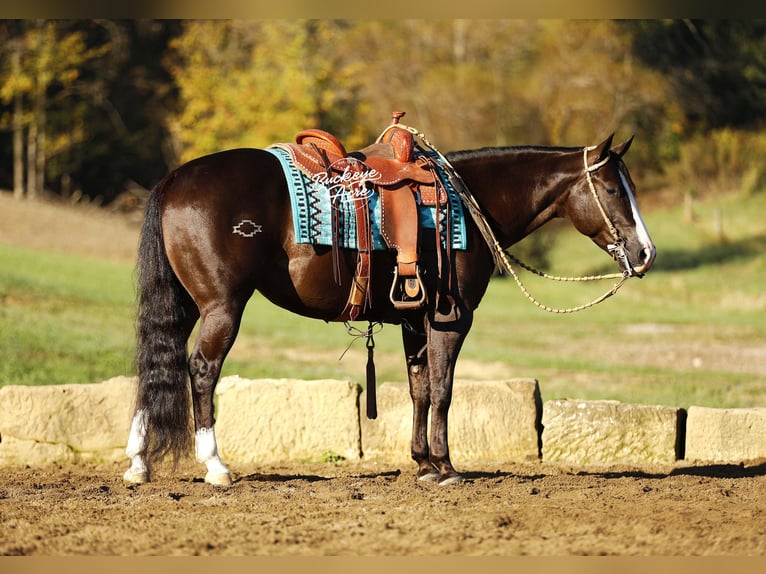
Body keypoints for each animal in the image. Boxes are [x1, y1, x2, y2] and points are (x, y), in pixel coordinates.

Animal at [123, 131, 656, 486]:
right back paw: (215, 466)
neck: (466, 203)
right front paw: (445, 467)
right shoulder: (450, 319)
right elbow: (442, 389)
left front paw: (422, 462)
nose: (645, 253)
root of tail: (175, 179)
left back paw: (138, 462)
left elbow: (419, 389)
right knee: (201, 369)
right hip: (222, 307)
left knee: (158, 366)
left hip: (184, 306)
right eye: (613, 189)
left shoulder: (414, 320)